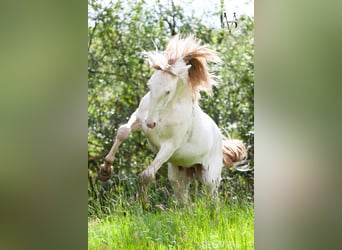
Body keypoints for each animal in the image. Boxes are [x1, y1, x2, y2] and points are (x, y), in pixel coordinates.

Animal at [99, 35, 246, 205]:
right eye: (149, 85)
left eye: (168, 91)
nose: (150, 123)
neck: (165, 111)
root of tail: (219, 139)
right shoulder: (138, 119)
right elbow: (122, 131)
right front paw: (105, 171)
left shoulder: (169, 146)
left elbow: (146, 176)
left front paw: (144, 204)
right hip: (178, 178)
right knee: (186, 204)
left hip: (210, 179)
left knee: (213, 201)